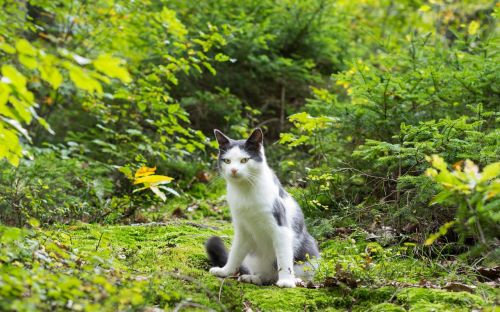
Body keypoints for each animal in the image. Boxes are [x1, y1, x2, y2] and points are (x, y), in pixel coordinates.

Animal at [204, 127, 318, 288]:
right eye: (227, 161)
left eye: (244, 160)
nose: (233, 170)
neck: (245, 191)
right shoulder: (242, 230)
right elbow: (235, 253)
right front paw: (225, 271)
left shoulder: (281, 228)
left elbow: (283, 258)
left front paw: (286, 281)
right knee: (266, 277)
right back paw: (254, 278)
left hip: (309, 252)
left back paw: (295, 279)